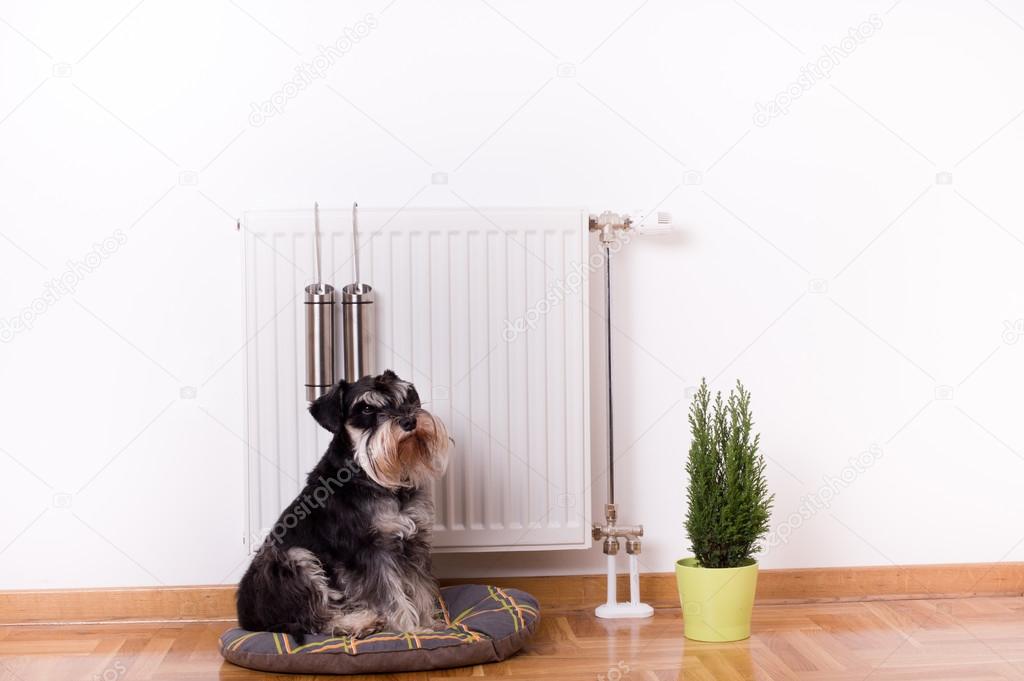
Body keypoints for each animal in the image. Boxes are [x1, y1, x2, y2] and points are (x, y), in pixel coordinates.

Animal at [238, 368, 452, 639]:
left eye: (406, 397)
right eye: (367, 409)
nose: (409, 422)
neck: (373, 477)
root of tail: (246, 618)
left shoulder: (414, 542)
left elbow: (420, 587)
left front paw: (428, 623)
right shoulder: (369, 551)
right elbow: (391, 594)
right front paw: (412, 630)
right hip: (293, 558)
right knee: (315, 619)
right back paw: (360, 623)